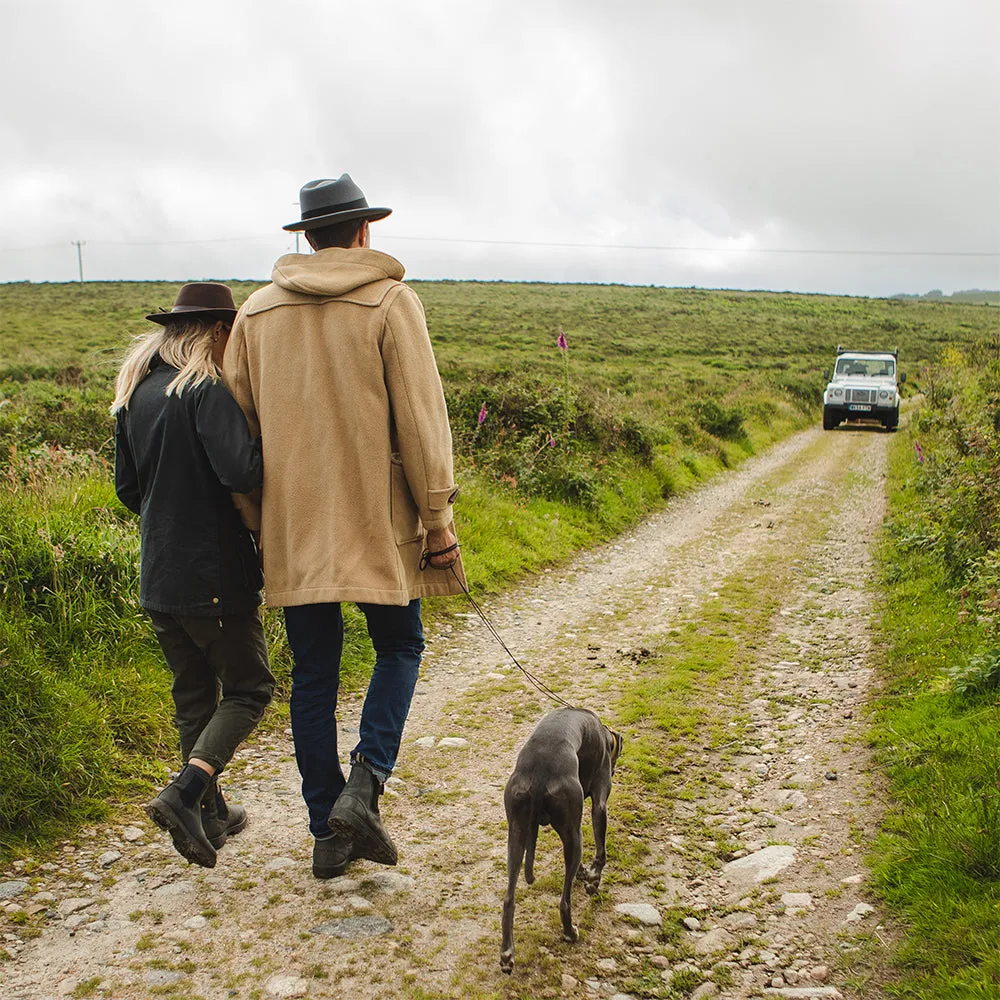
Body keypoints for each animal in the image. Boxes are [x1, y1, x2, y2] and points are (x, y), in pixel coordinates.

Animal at [498, 708, 620, 972]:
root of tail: (539, 773)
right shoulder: (599, 806)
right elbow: (601, 853)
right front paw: (593, 880)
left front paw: (585, 874)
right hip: (573, 833)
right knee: (564, 902)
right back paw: (570, 932)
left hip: (517, 835)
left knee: (509, 899)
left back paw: (507, 953)